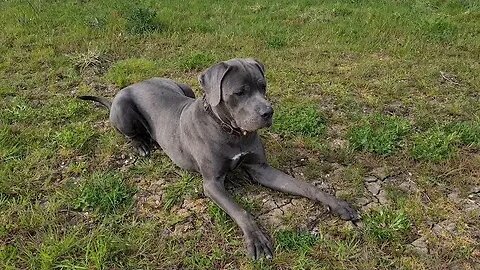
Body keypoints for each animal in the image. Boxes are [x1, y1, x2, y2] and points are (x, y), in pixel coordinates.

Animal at [79, 58, 358, 260]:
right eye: (240, 92)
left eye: (263, 86)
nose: (268, 112)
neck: (230, 131)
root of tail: (135, 83)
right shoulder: (212, 183)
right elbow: (240, 210)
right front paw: (256, 240)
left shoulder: (261, 168)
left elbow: (305, 186)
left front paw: (337, 204)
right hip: (122, 109)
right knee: (130, 132)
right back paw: (142, 145)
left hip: (183, 87)